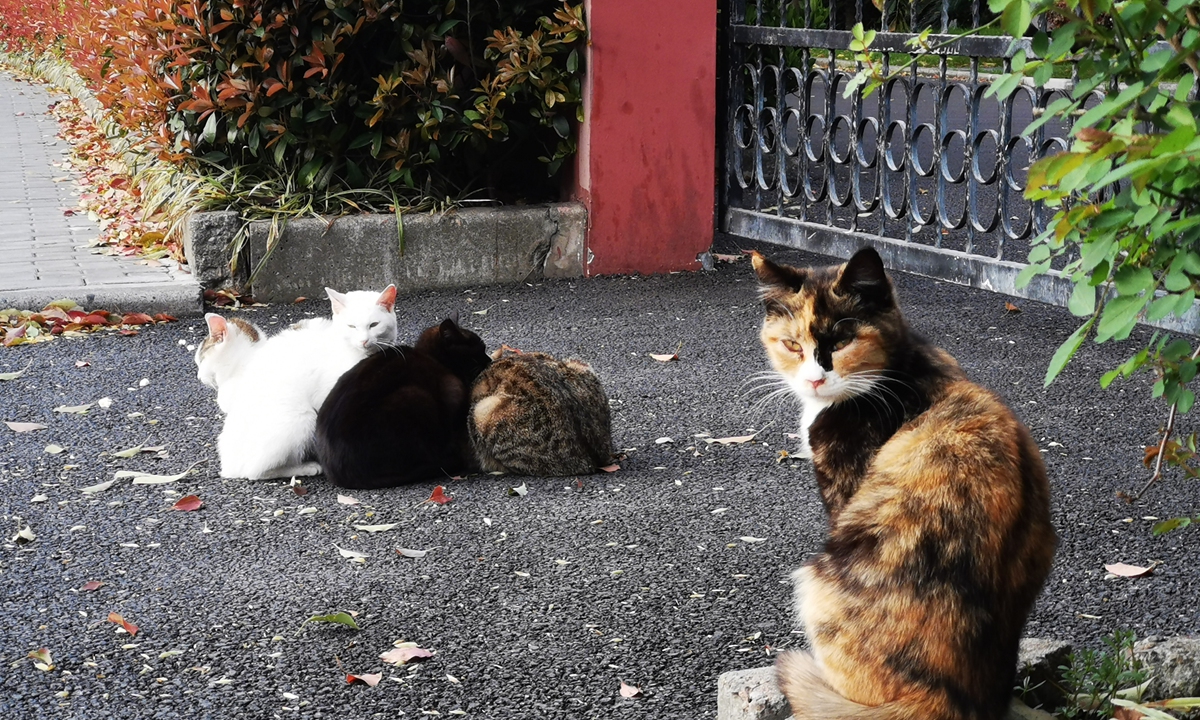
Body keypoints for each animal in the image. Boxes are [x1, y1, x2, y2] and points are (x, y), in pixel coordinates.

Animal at [195, 284, 398, 480]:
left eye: (374, 325)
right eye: (351, 326)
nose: (364, 341)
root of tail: (228, 466)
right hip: (302, 418)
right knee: (254, 472)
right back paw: (306, 467)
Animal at [316, 316, 494, 489]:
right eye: (480, 349)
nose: (490, 360)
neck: (432, 357)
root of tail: (342, 475)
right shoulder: (452, 389)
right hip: (414, 396)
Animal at [753, 247, 1056, 720]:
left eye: (842, 342)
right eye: (792, 344)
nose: (815, 379)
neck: (901, 366)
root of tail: (950, 701)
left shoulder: (844, 483)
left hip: (817, 582)